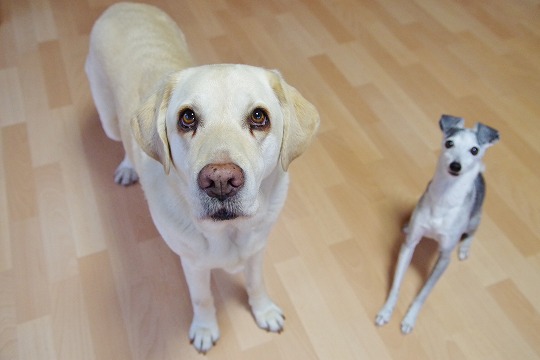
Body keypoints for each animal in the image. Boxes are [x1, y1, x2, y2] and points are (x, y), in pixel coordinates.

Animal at [376, 114, 498, 334]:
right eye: (449, 143)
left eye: (474, 150)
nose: (455, 166)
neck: (444, 199)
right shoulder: (409, 245)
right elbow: (397, 283)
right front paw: (387, 310)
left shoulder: (444, 258)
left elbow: (424, 292)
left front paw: (410, 318)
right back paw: (406, 225)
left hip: (474, 219)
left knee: (472, 232)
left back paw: (465, 248)